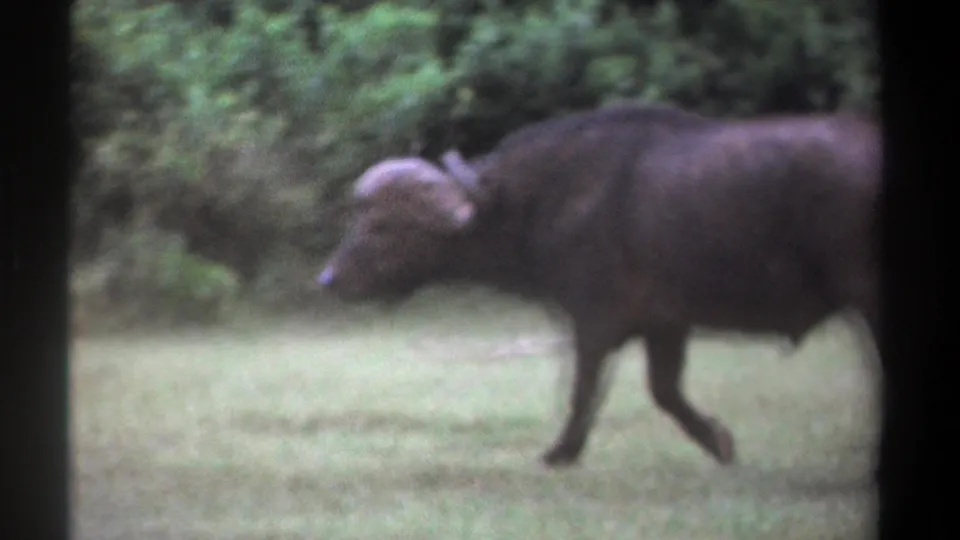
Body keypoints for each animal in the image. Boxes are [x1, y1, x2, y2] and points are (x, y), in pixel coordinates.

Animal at [318, 103, 881, 468]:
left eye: (383, 225)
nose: (329, 279)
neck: (542, 198)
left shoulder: (595, 321)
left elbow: (583, 390)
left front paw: (560, 452)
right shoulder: (665, 323)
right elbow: (665, 390)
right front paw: (719, 441)